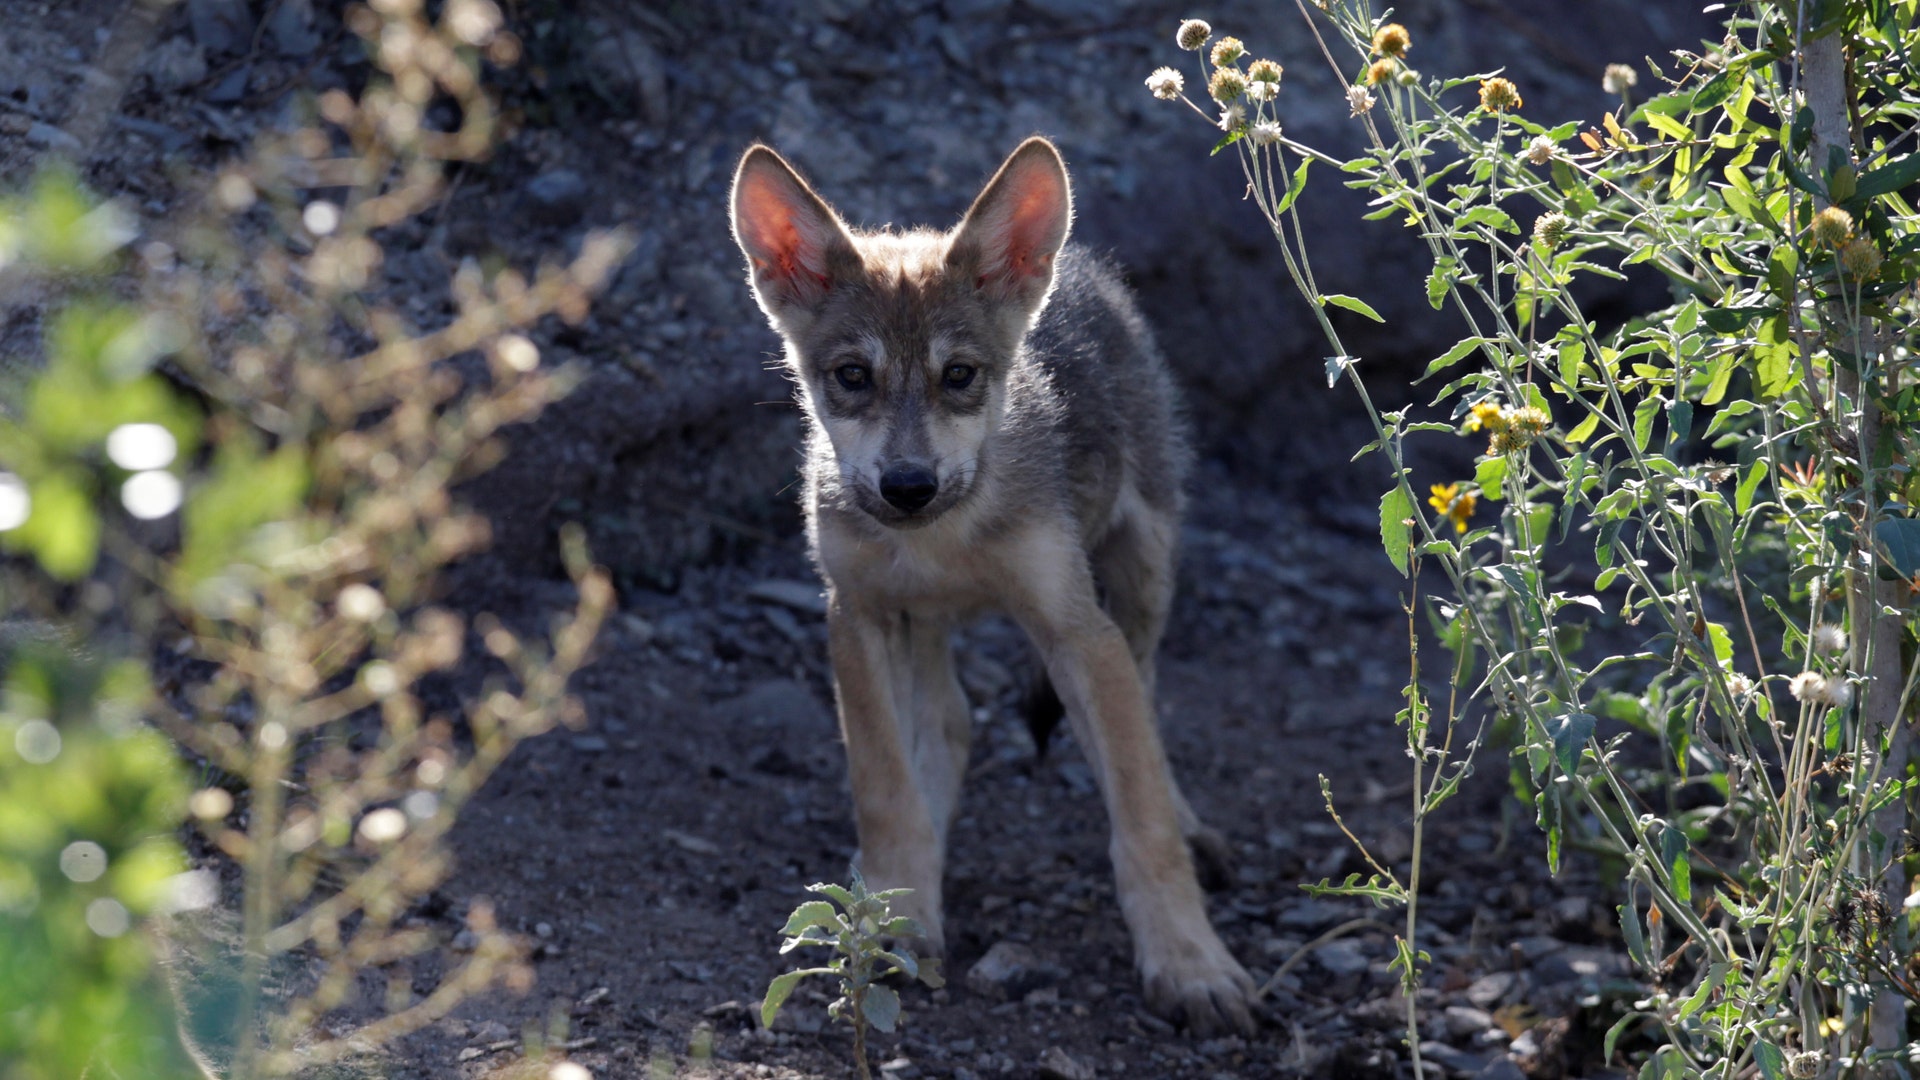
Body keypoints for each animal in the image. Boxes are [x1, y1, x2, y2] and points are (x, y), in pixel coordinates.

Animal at [729, 136, 1255, 1034]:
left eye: (961, 375)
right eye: (852, 377)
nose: (908, 486)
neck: (943, 542)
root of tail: (1081, 266)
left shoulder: (1077, 630)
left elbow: (1140, 817)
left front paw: (1191, 963)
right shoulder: (859, 616)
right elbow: (887, 788)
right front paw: (896, 911)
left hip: (1142, 579)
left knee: (1144, 709)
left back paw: (1193, 830)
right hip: (925, 628)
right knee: (949, 723)